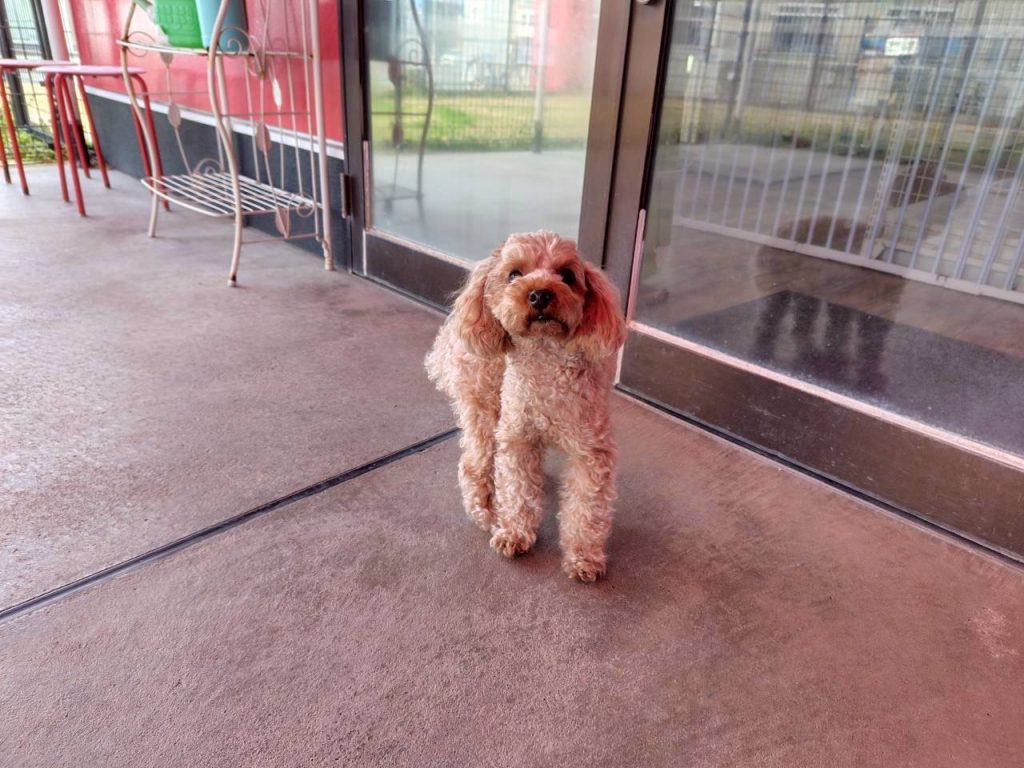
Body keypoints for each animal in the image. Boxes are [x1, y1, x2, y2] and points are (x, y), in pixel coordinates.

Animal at [425, 231, 626, 582]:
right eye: (514, 274)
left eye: (568, 276)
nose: (540, 294)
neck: (546, 361)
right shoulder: (517, 436)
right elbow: (517, 490)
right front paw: (514, 533)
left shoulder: (591, 450)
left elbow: (586, 508)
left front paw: (583, 556)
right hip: (484, 407)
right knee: (474, 464)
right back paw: (484, 511)